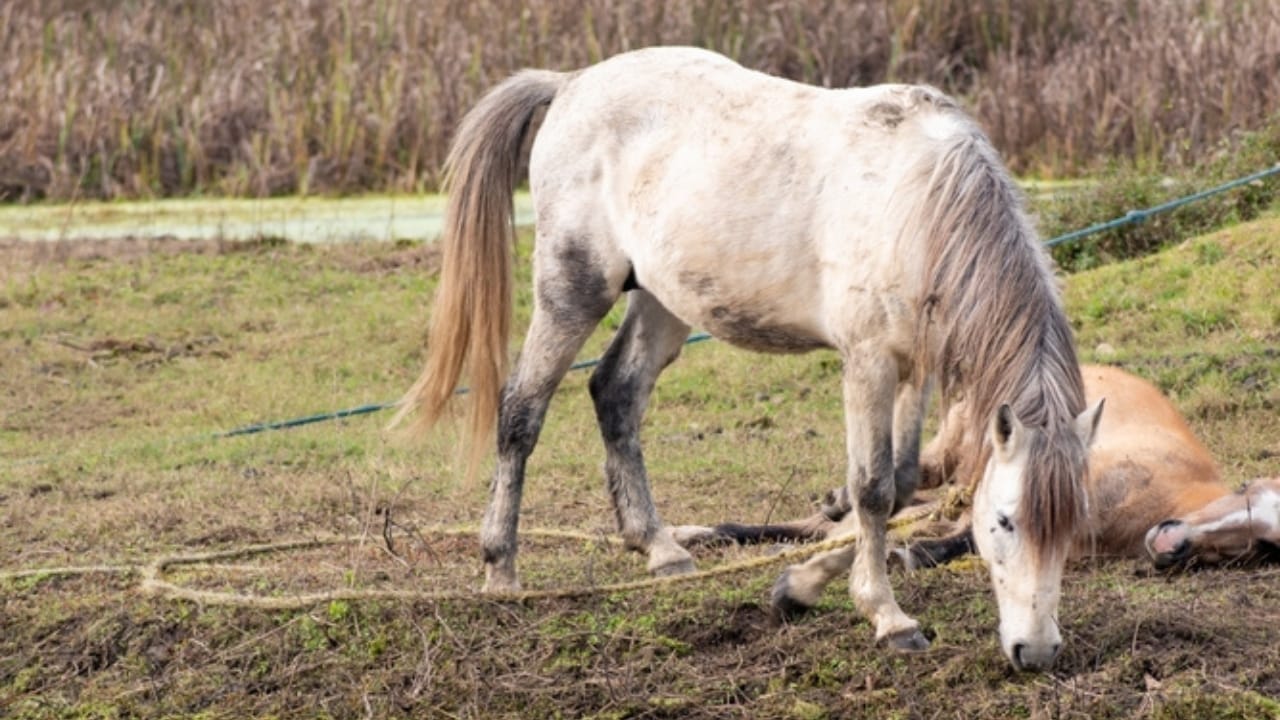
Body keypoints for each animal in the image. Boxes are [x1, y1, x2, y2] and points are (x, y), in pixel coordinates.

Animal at [395, 47, 1099, 672]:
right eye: (1004, 521)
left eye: (1073, 526)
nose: (1035, 652)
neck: (918, 203)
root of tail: (570, 84)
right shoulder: (867, 362)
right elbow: (870, 489)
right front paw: (887, 617)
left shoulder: (913, 369)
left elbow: (897, 487)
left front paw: (799, 586)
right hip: (572, 292)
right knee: (522, 411)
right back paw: (502, 569)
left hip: (662, 300)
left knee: (615, 392)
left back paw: (659, 548)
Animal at [674, 364, 1280, 570]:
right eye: (1246, 486)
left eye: (1267, 546)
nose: (1170, 544)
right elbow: (970, 534)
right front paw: (913, 554)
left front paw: (911, 553)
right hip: (962, 446)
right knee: (916, 476)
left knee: (815, 528)